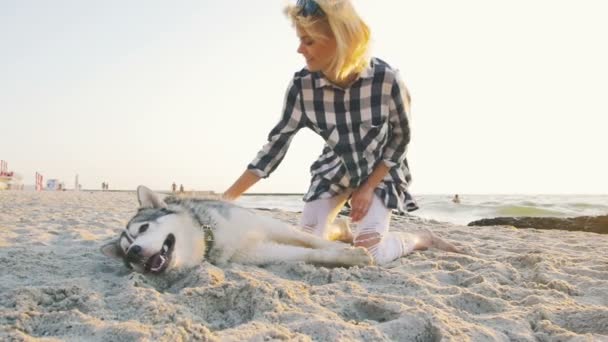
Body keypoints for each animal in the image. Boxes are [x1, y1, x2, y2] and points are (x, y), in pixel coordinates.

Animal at [101, 186, 370, 274]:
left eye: (144, 228)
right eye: (125, 254)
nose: (134, 252)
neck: (211, 236)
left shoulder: (269, 225)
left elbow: (314, 242)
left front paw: (351, 251)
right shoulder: (261, 252)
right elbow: (311, 253)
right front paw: (350, 256)